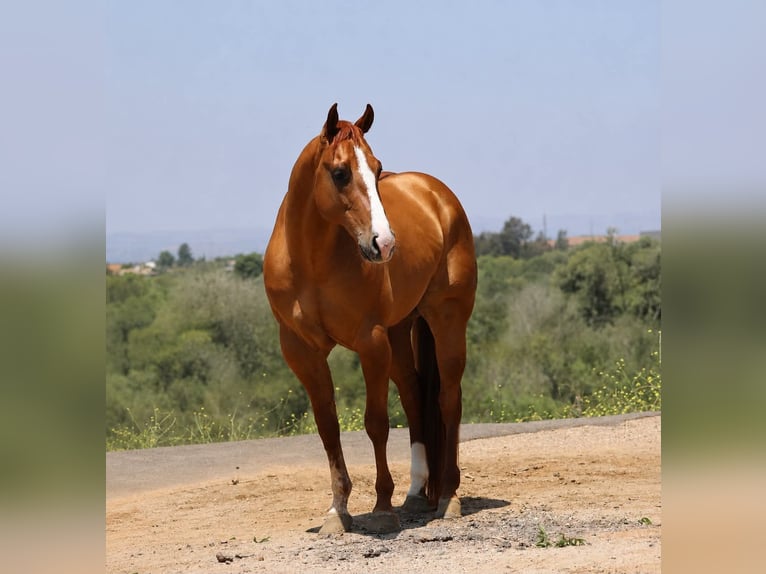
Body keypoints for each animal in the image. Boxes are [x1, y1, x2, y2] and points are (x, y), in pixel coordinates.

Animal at [263, 103, 477, 534]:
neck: (310, 261)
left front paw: (380, 507)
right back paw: (416, 493)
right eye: (340, 172)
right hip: (399, 330)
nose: (385, 243)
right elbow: (328, 426)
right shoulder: (301, 350)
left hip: (446, 320)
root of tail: (438, 195)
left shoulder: (370, 342)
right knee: (414, 395)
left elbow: (376, 422)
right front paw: (338, 510)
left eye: (377, 169)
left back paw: (448, 495)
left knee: (448, 399)